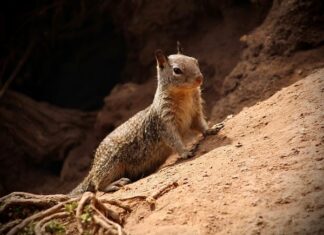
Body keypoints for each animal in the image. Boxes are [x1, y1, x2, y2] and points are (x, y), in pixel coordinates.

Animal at [70, 43, 223, 196]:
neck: (185, 95)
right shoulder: (165, 122)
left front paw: (211, 129)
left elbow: (200, 124)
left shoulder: (195, 112)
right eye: (177, 70)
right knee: (98, 185)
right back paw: (114, 184)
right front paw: (185, 151)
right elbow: (174, 139)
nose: (199, 78)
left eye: (195, 61)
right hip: (110, 164)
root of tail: (93, 168)